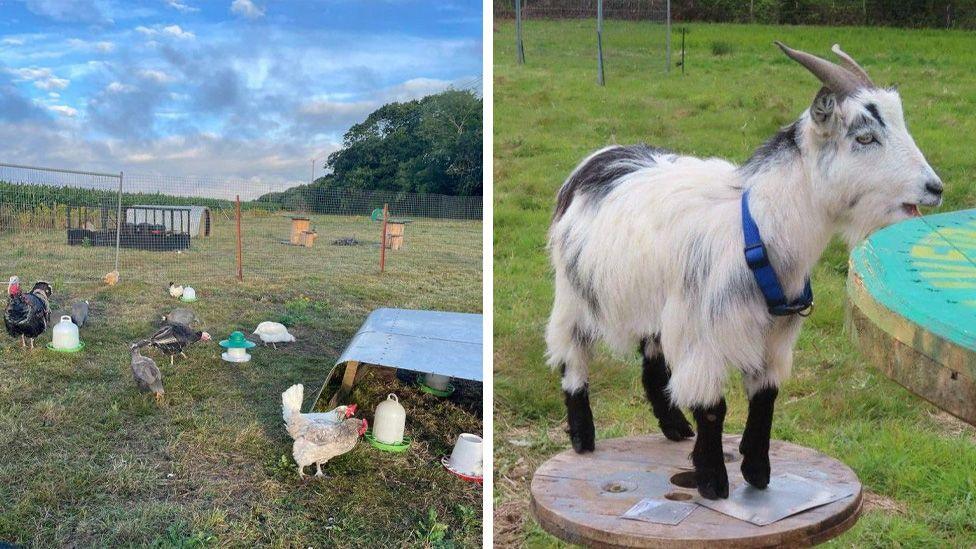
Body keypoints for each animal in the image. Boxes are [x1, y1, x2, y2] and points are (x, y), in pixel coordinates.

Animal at [544, 40, 940, 498]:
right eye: (865, 137)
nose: (935, 188)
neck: (755, 228)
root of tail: (597, 158)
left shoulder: (772, 338)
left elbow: (764, 399)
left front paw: (757, 470)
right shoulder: (704, 335)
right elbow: (713, 407)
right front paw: (713, 481)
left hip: (654, 303)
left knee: (652, 362)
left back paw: (674, 427)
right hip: (574, 294)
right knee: (571, 357)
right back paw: (582, 435)